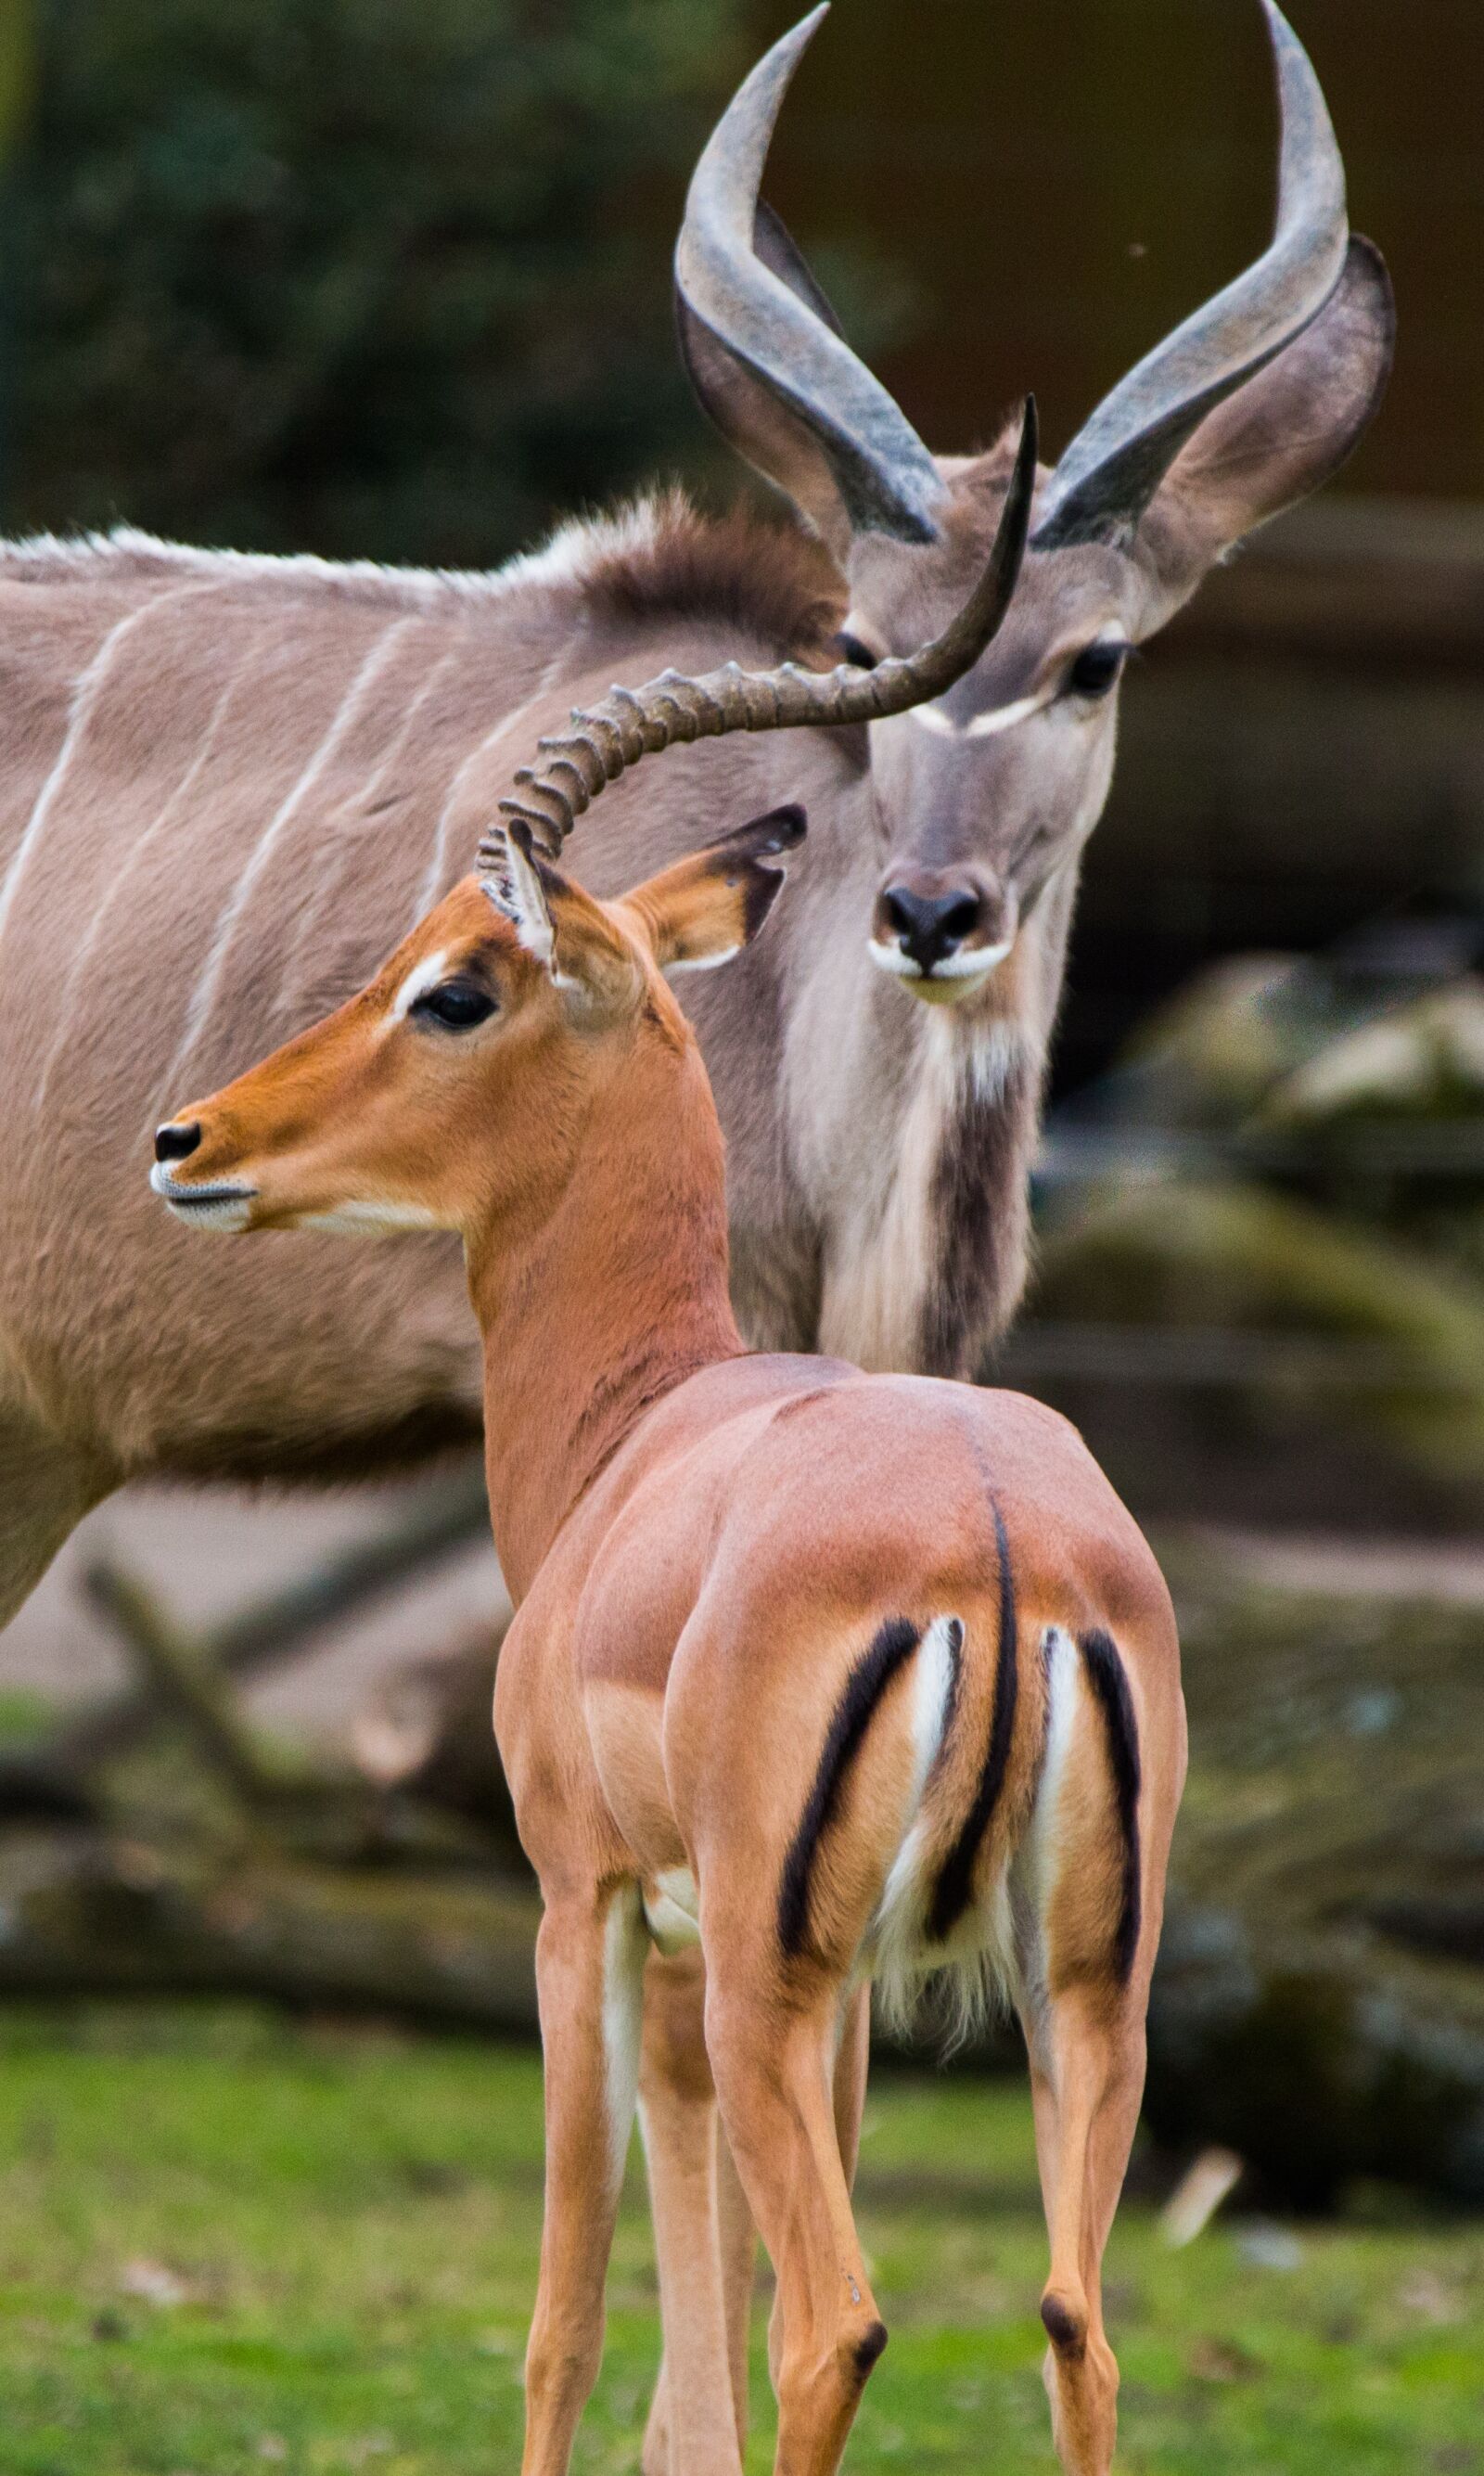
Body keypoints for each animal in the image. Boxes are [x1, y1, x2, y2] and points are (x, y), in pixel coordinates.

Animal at [150, 794, 1187, 2476]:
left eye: (456, 987)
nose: (190, 1140)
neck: (632, 1434)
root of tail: (997, 1538)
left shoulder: (585, 1905)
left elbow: (567, 2316)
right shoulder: (801, 1974)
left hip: (781, 1978)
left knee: (838, 2321)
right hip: (1078, 1987)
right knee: (1073, 2330)